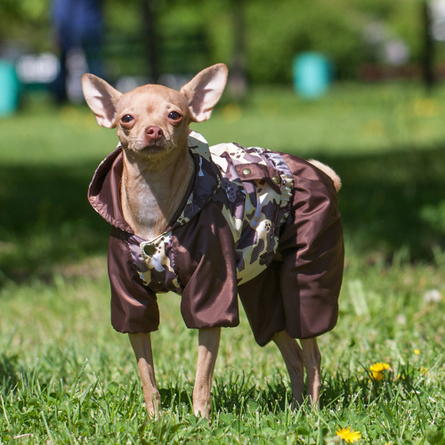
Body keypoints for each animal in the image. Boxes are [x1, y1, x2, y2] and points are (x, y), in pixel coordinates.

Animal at [80, 63, 344, 416]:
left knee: (311, 349)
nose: (153, 131)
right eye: (126, 118)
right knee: (291, 351)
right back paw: (296, 408)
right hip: (260, 283)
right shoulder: (131, 304)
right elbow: (147, 376)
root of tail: (321, 174)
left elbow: (202, 376)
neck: (154, 206)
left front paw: (199, 418)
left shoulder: (210, 295)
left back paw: (312, 411)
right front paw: (154, 419)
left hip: (306, 275)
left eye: (175, 115)